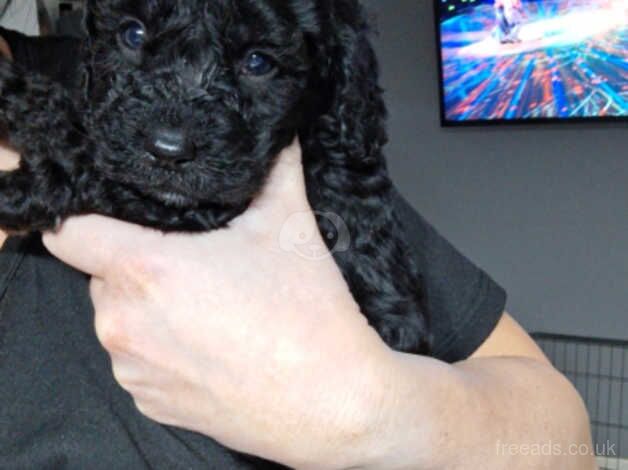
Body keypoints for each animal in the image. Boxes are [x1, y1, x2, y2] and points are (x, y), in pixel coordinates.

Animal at [0, 0, 426, 352]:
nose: (168, 150)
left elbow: (90, 164)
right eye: (133, 34)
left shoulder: (205, 205)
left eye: (258, 62)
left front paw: (27, 117)